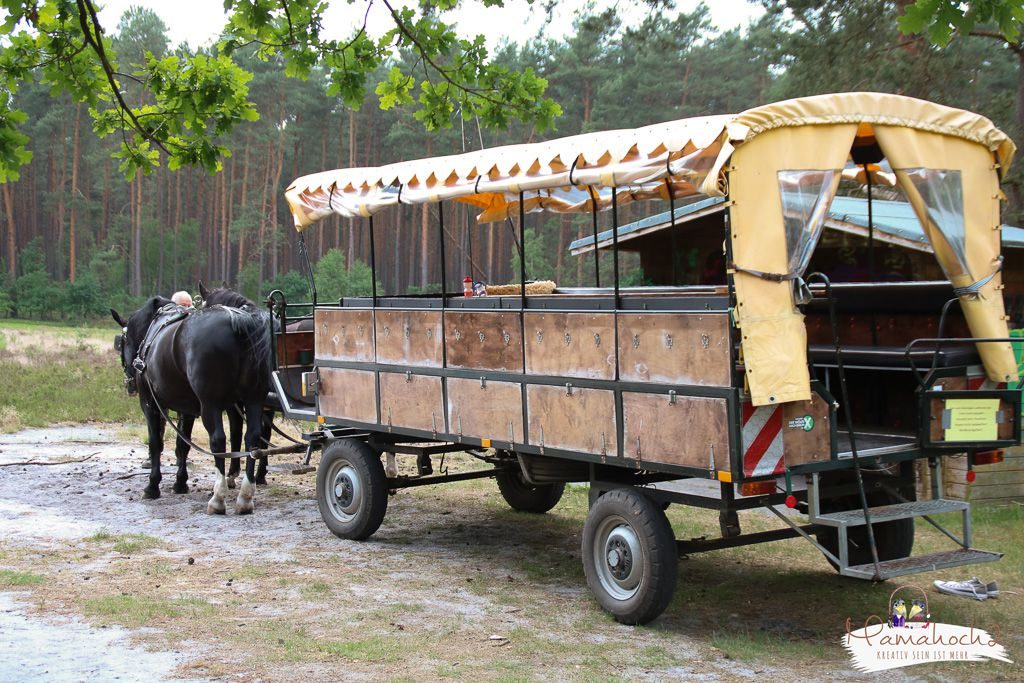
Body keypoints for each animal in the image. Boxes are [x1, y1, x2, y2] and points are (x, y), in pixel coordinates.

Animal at [112, 296, 274, 516]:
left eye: (122, 343)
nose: (129, 384)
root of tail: (239, 321)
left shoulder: (150, 405)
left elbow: (156, 443)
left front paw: (152, 486)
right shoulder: (186, 408)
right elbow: (183, 445)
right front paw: (180, 483)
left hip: (211, 404)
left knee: (218, 440)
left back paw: (218, 498)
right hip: (254, 399)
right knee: (253, 439)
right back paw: (245, 497)